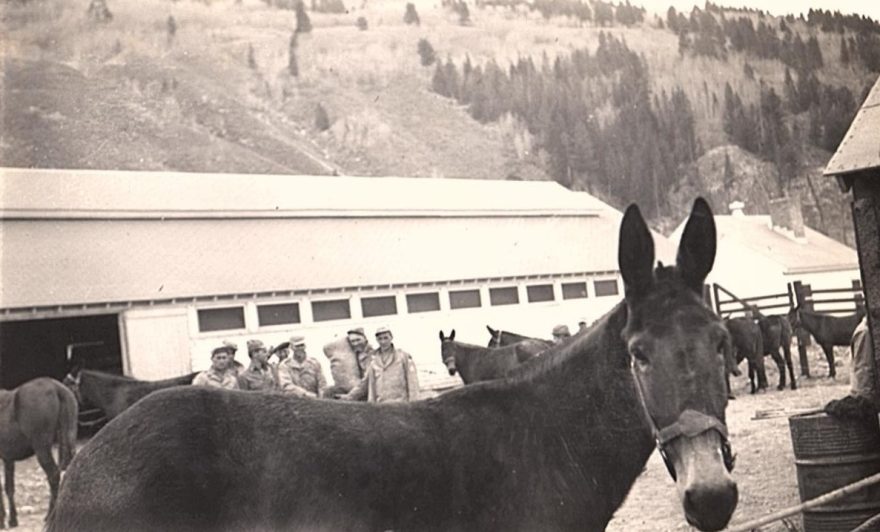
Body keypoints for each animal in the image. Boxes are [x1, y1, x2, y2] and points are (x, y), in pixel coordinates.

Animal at [0, 378, 78, 527]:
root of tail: (56, 387)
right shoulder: (8, 458)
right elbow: (9, 487)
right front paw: (12, 520)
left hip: (41, 447)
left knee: (53, 475)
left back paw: (50, 517)